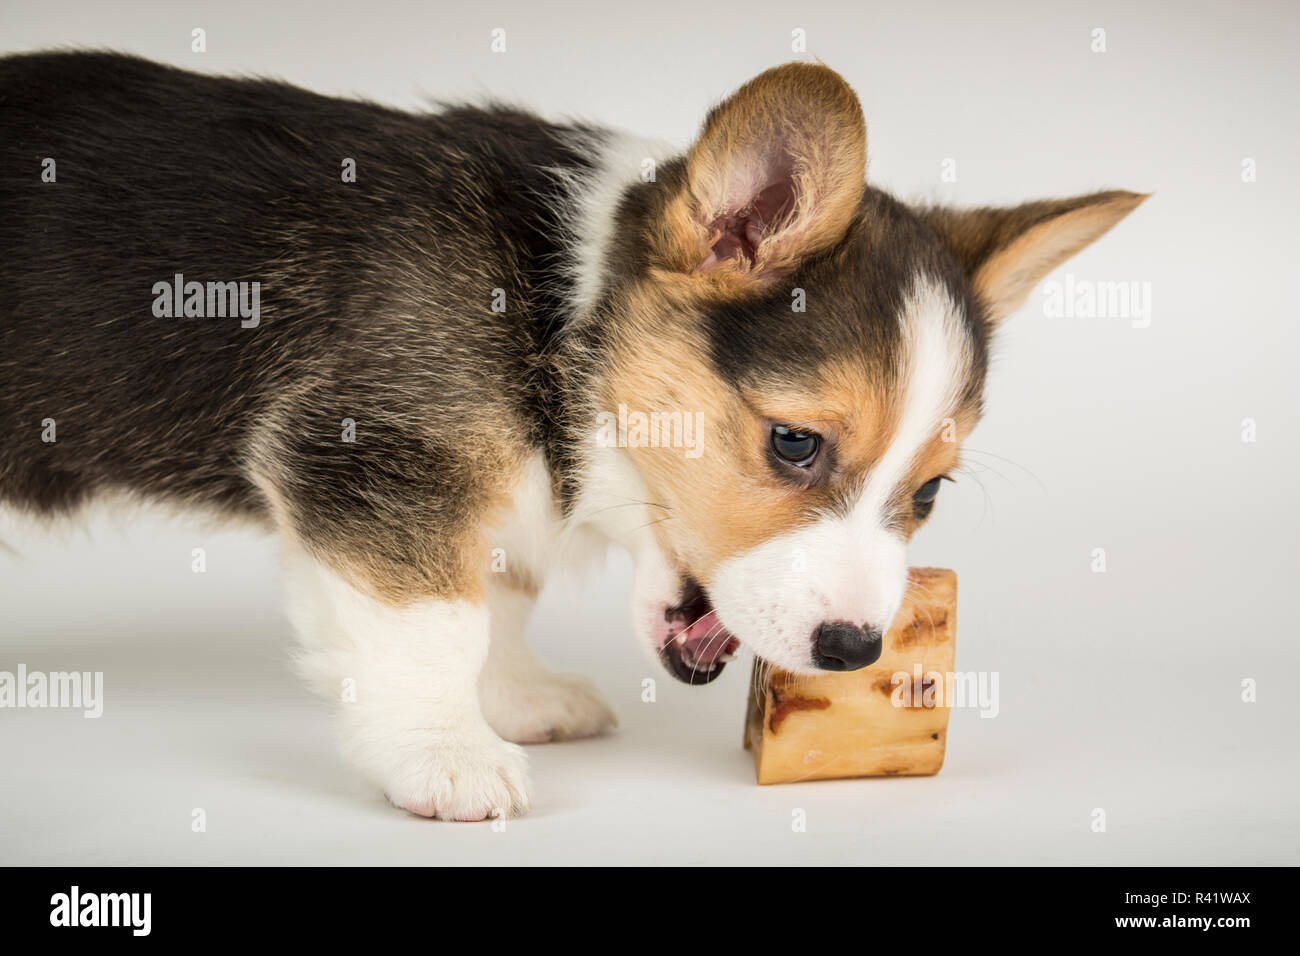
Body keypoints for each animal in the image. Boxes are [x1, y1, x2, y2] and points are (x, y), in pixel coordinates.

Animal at [0, 52, 1138, 816]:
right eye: (794, 444)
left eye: (930, 493)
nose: (853, 649)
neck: (562, 303)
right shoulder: (374, 454)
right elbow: (436, 620)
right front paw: (446, 755)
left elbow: (500, 594)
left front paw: (517, 698)